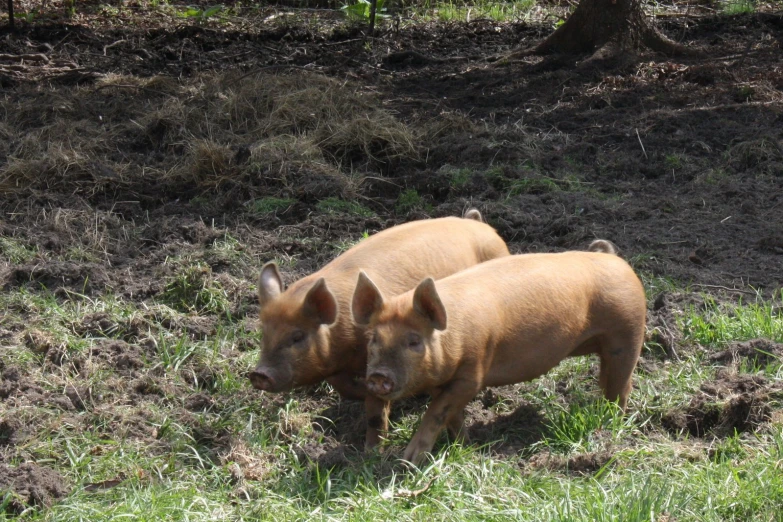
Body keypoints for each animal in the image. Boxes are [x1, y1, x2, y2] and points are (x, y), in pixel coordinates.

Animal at [248, 209, 512, 444]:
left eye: (297, 337)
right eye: (264, 334)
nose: (259, 374)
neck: (342, 346)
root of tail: (480, 224)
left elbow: (375, 410)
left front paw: (372, 451)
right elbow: (344, 388)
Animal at [352, 240, 648, 464]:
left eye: (414, 341)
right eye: (374, 338)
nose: (378, 376)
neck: (453, 337)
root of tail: (616, 259)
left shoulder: (473, 373)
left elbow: (436, 411)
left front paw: (410, 460)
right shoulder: (443, 381)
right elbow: (451, 415)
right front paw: (464, 446)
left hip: (628, 333)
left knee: (622, 386)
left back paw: (610, 422)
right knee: (608, 380)